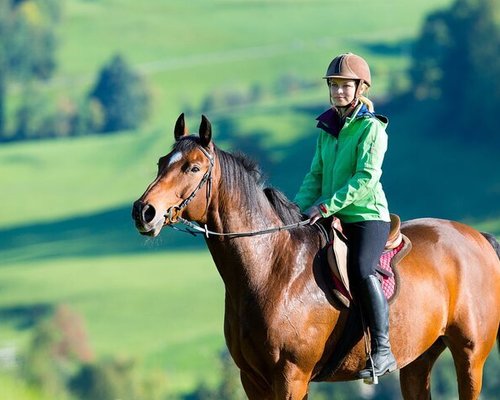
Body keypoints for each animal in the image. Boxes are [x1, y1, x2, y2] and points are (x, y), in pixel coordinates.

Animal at [132, 114, 500, 398]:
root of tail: (478, 237)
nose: (144, 211)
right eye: (162, 163)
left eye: (193, 168)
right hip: (417, 360)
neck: (272, 268)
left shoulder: (291, 376)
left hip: (470, 357)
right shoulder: (253, 380)